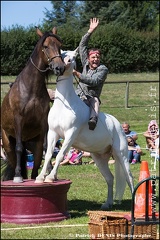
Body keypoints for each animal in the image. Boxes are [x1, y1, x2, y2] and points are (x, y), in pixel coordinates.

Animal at [1, 27, 65, 183]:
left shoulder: (43, 122)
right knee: (15, 155)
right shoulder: (19, 120)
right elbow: (19, 148)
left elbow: (46, 148)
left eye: (59, 46)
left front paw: (45, 173)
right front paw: (18, 176)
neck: (31, 88)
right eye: (45, 46)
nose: (59, 67)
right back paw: (18, 175)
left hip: (33, 143)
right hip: (8, 145)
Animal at [35, 49, 134, 210]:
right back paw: (107, 203)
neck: (65, 105)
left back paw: (135, 204)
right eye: (61, 54)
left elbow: (60, 155)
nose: (58, 68)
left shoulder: (70, 134)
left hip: (121, 155)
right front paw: (40, 177)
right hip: (99, 158)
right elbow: (49, 154)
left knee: (129, 177)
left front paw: (50, 177)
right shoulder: (52, 133)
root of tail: (117, 124)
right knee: (110, 178)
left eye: (72, 58)